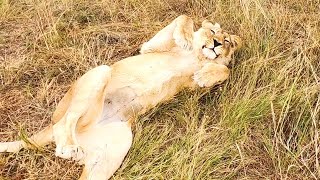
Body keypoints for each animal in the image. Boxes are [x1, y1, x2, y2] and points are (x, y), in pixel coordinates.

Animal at [0, 14, 240, 179]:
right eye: (212, 31)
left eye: (227, 41)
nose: (217, 44)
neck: (199, 57)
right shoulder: (149, 47)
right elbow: (184, 18)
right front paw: (186, 39)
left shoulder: (190, 88)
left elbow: (224, 71)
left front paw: (206, 75)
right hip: (101, 72)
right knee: (64, 123)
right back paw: (68, 146)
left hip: (113, 150)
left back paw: (71, 150)